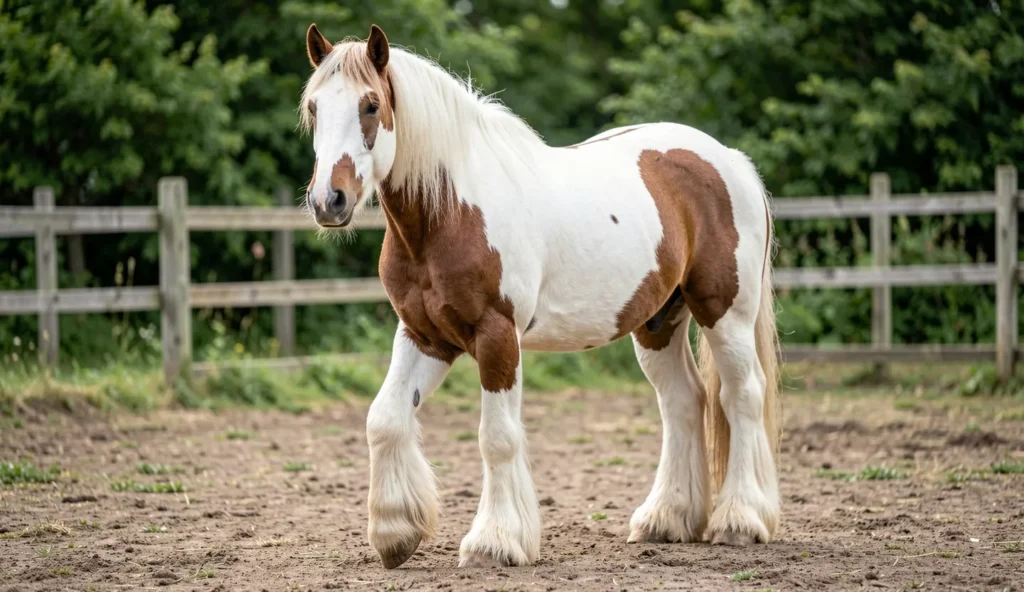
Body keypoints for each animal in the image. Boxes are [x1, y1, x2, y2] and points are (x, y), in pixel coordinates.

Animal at [299, 23, 782, 569]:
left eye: (371, 105)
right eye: (314, 106)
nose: (328, 201)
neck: (450, 212)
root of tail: (730, 160)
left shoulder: (496, 337)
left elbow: (497, 438)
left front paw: (495, 541)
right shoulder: (425, 336)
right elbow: (384, 419)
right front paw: (395, 533)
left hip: (726, 313)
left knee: (742, 395)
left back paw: (741, 520)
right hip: (658, 321)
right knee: (683, 400)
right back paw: (665, 520)